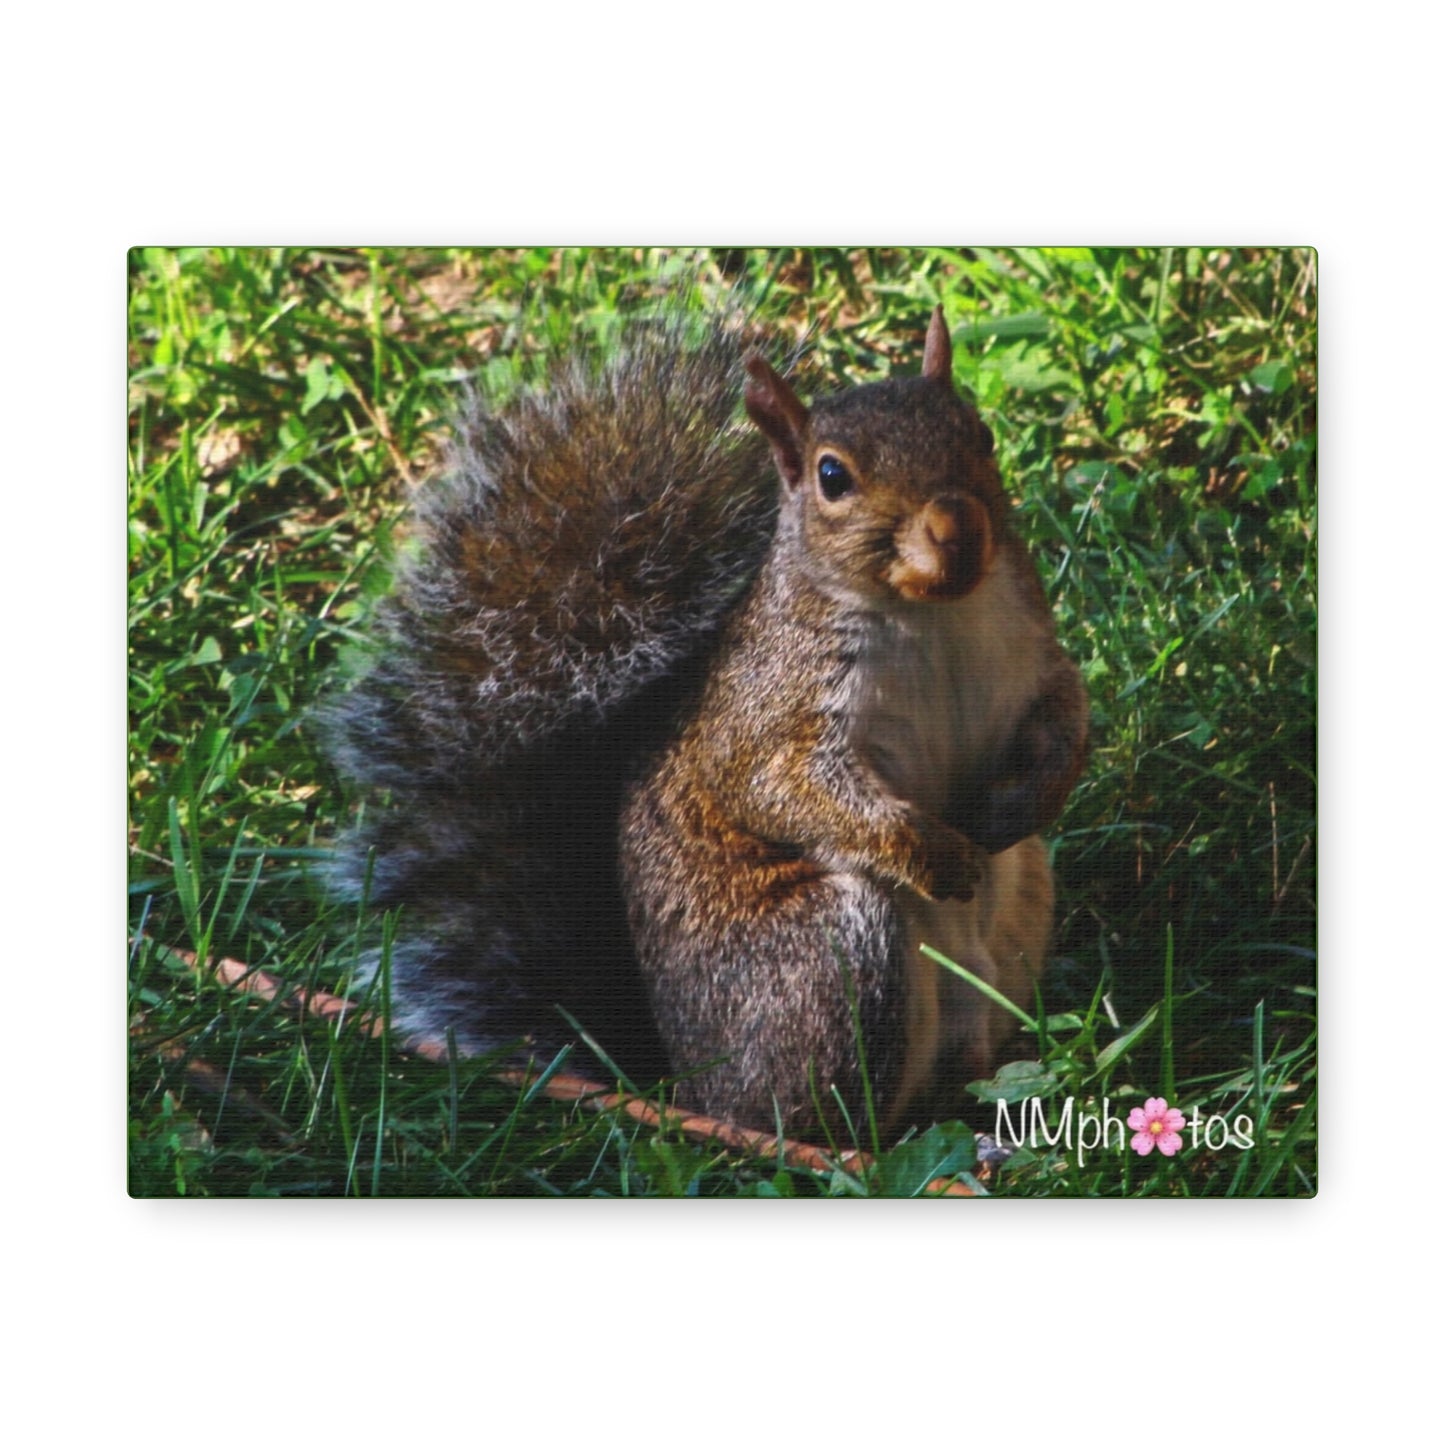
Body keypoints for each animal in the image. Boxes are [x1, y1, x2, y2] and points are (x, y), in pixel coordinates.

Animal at [322, 298, 1087, 1137]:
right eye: (831, 476)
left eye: (980, 434)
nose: (957, 527)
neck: (932, 613)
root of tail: (689, 1088)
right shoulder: (768, 715)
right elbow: (785, 789)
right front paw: (935, 853)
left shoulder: (1031, 657)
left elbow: (1066, 718)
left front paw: (1020, 802)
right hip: (828, 957)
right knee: (828, 1119)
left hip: (1021, 906)